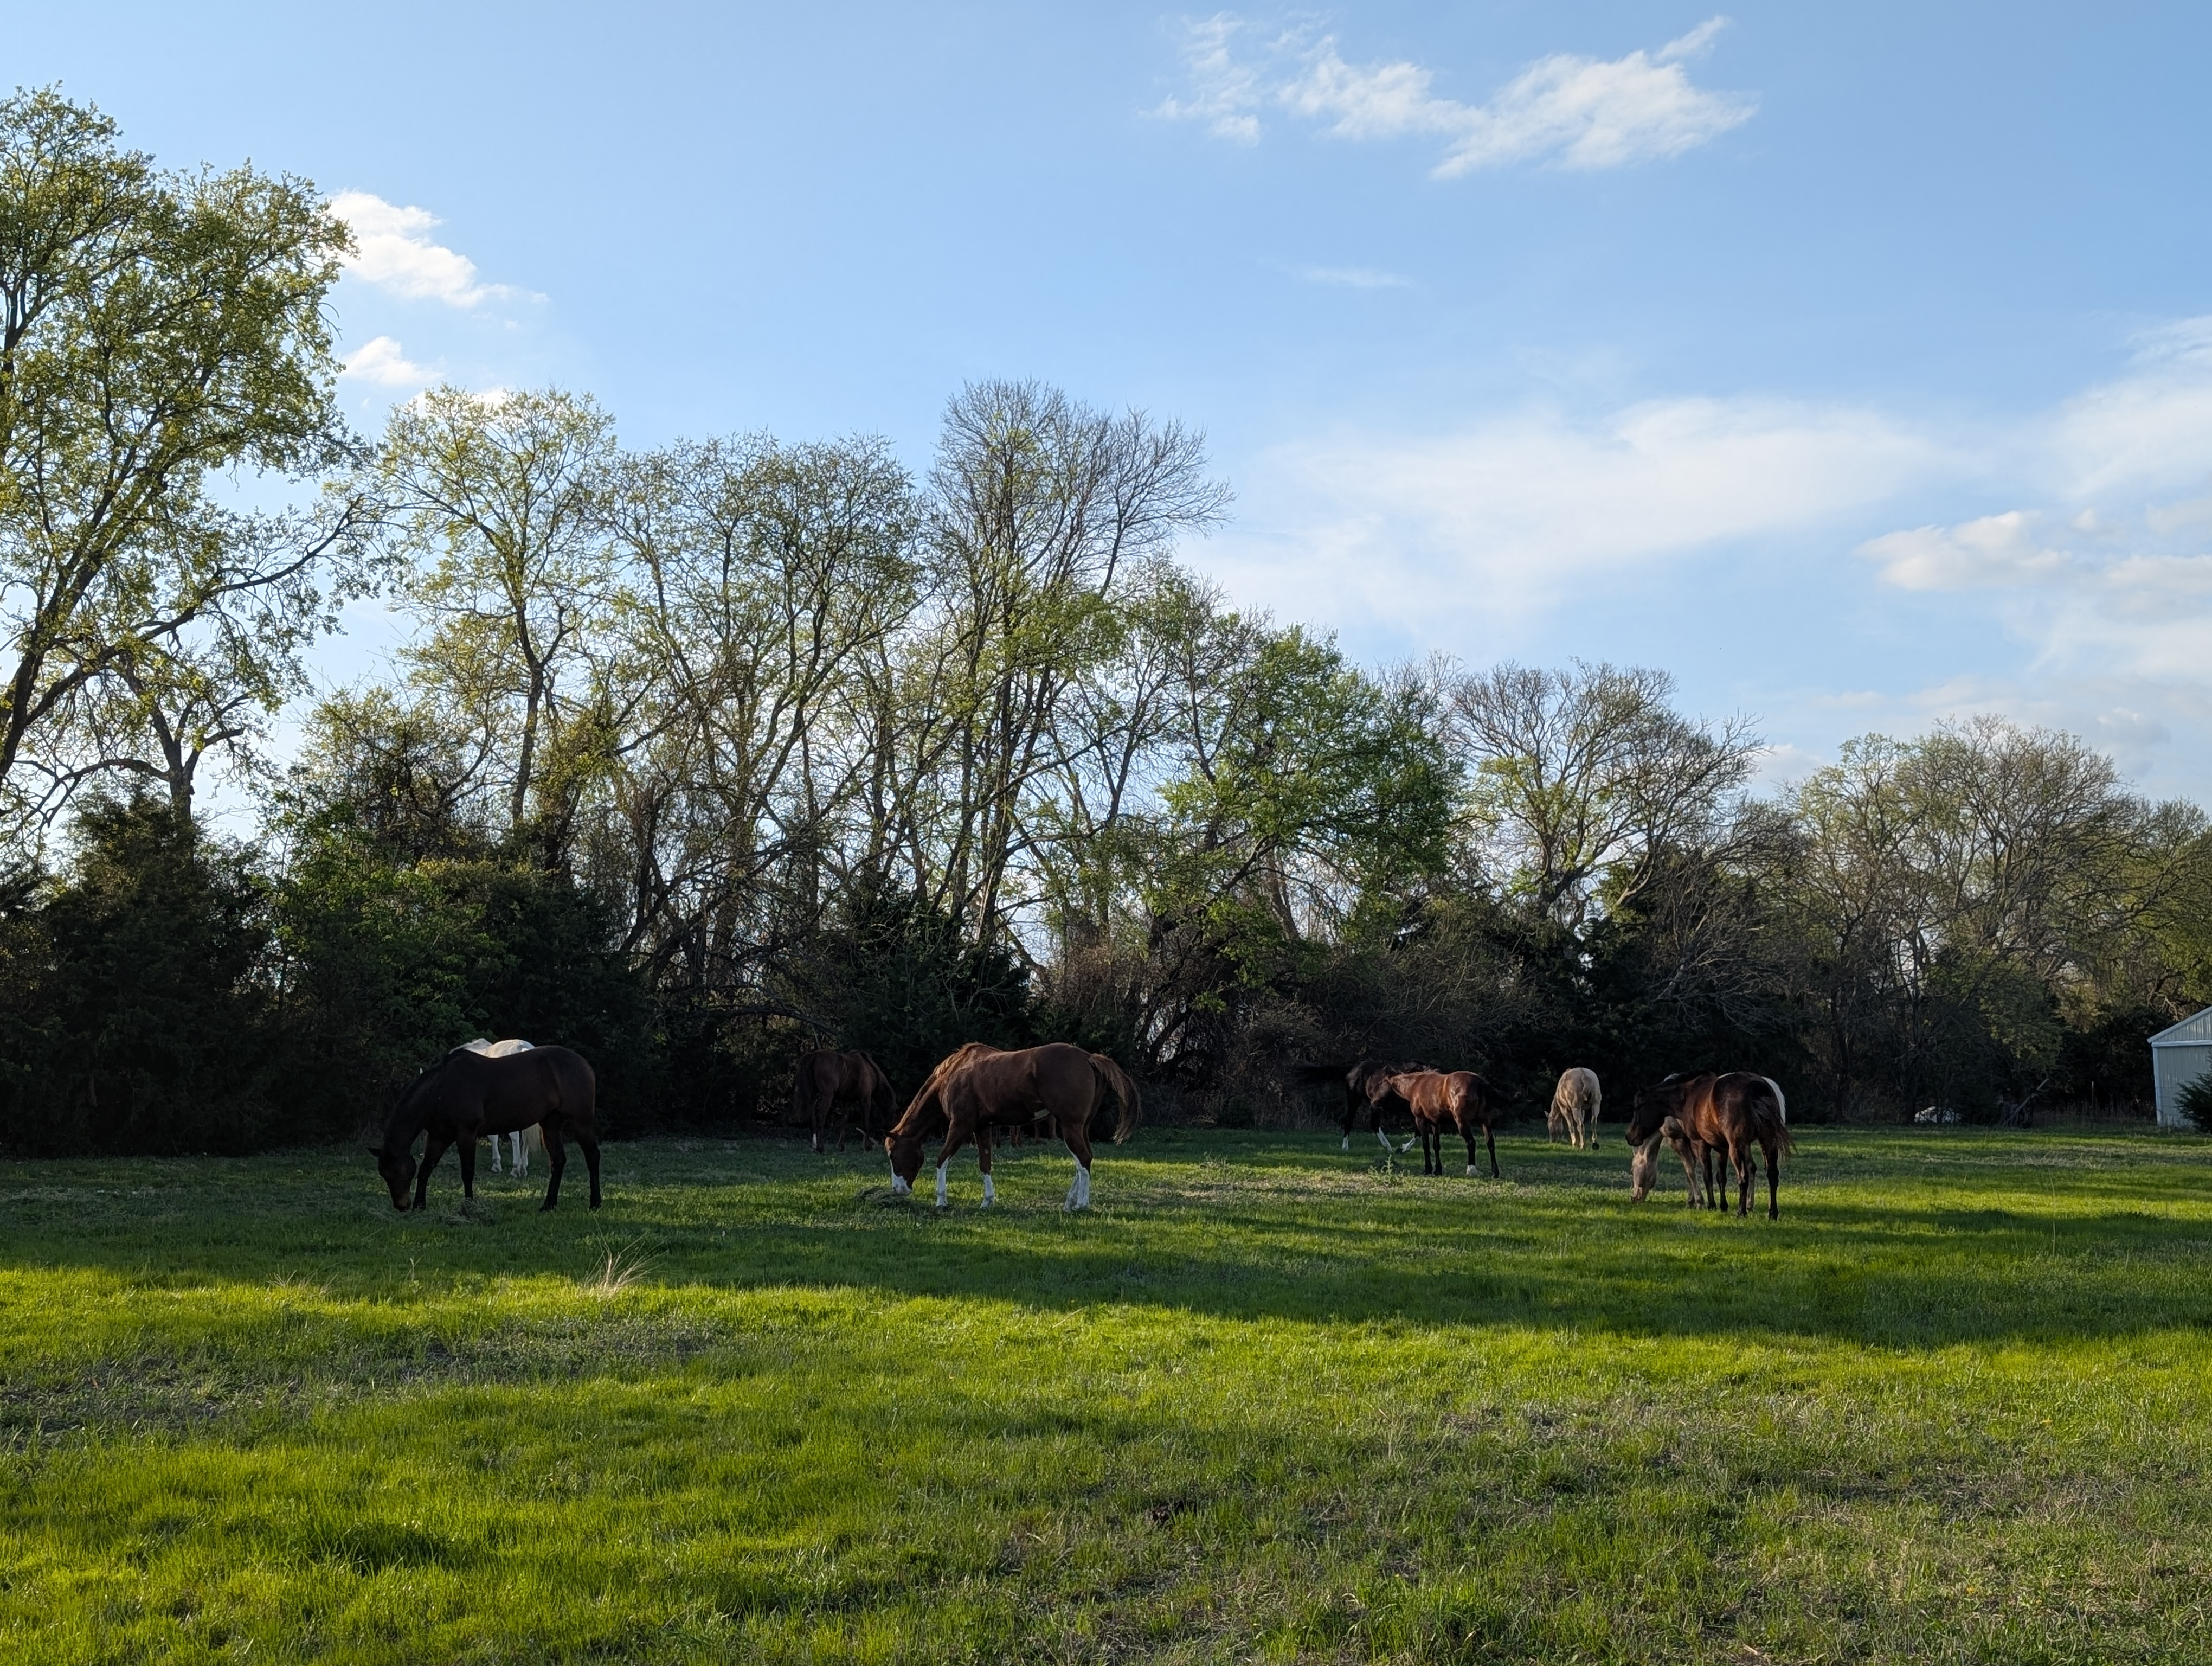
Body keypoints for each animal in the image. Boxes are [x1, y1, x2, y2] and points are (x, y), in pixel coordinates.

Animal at [792, 1047, 898, 1153]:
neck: (870, 1070)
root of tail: (814, 1055)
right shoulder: (866, 1099)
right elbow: (865, 1122)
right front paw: (868, 1147)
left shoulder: (847, 1101)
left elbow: (844, 1123)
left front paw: (841, 1147)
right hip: (827, 1097)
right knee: (821, 1118)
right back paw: (820, 1148)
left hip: (814, 1097)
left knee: (813, 1119)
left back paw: (815, 1146)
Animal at [886, 1042, 1140, 1210]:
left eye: (892, 1155)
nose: (899, 1190)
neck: (955, 1074)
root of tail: (1088, 1058)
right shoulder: (982, 1128)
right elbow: (985, 1164)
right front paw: (987, 1202)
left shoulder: (960, 1126)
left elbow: (942, 1160)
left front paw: (941, 1200)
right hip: (1081, 1128)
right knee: (1084, 1160)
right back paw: (1070, 1202)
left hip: (1070, 1127)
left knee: (1083, 1160)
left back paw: (1081, 1204)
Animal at [1379, 1070, 1500, 1178]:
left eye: (1382, 1084)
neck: (1416, 1085)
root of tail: (1479, 1082)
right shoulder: (1435, 1124)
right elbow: (1436, 1146)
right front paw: (1438, 1170)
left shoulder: (1421, 1121)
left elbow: (1426, 1145)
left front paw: (1427, 1170)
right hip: (1485, 1122)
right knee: (1490, 1143)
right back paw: (1495, 1173)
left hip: (1463, 1123)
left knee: (1471, 1142)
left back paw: (1471, 1170)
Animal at [1548, 1066, 1602, 1147]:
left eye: (1550, 1127)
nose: (1553, 1142)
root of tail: (1584, 1076)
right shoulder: (1582, 1110)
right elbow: (1578, 1126)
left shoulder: (1565, 1109)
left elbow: (1571, 1126)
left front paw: (1574, 1143)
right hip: (1596, 1104)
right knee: (1594, 1122)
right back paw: (1594, 1142)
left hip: (1575, 1108)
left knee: (1581, 1124)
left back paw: (1582, 1146)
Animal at [1629, 1115, 1707, 1205]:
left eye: (1632, 1170)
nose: (1634, 1199)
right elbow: (1691, 1171)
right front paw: (1691, 1202)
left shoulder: (1677, 1139)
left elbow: (1690, 1173)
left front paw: (1698, 1202)